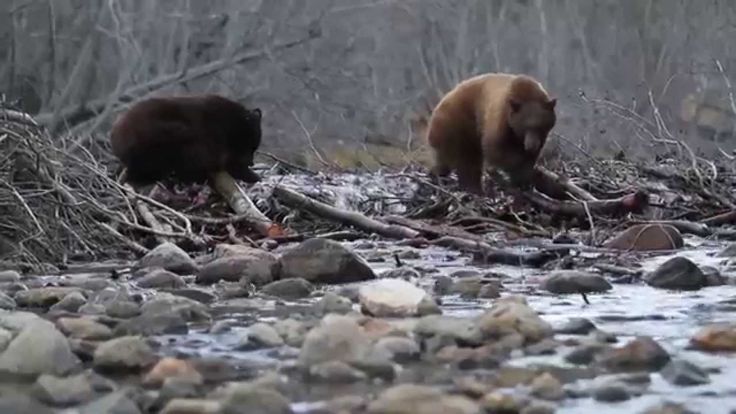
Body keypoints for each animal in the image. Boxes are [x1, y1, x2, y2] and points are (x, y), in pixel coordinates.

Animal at [112, 94, 264, 186]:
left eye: (254, 148)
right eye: (248, 146)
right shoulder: (213, 139)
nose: (251, 162)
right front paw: (252, 175)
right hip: (160, 134)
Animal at [426, 72, 556, 194]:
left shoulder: (540, 136)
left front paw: (523, 180)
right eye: (525, 126)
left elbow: (530, 158)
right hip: (457, 125)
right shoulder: (500, 118)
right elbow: (496, 149)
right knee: (465, 160)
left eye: (540, 126)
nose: (531, 146)